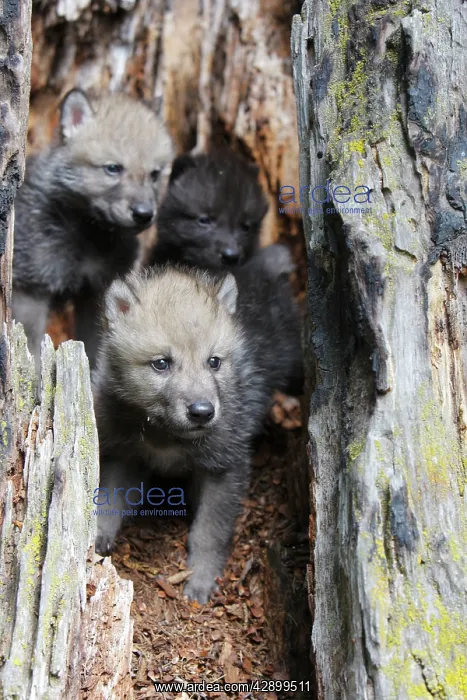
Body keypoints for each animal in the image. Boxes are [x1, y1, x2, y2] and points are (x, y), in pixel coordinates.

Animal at [12, 89, 173, 374]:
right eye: (113, 168)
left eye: (154, 174)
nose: (144, 214)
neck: (89, 236)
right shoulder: (31, 290)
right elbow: (33, 351)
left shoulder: (97, 293)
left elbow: (95, 348)